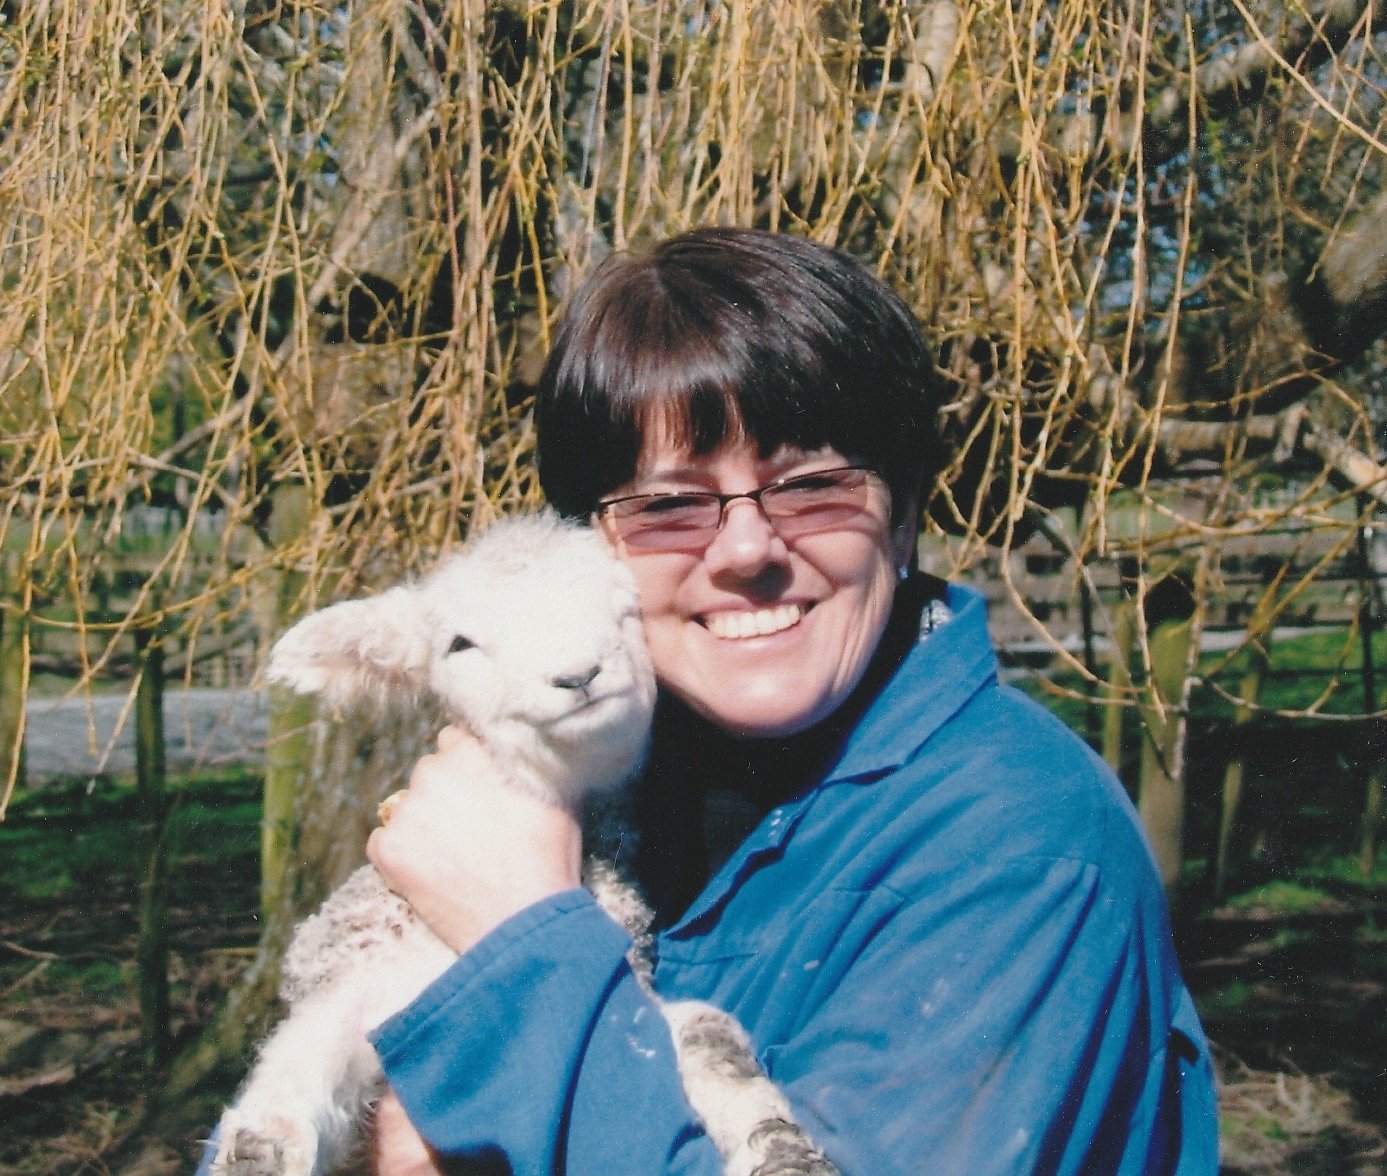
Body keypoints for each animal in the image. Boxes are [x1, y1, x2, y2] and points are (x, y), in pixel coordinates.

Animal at [208, 511, 837, 1176]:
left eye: (626, 611)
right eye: (459, 645)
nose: (578, 675)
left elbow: (707, 1033)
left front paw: (782, 1149)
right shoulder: (358, 991)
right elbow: (285, 1089)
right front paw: (255, 1156)